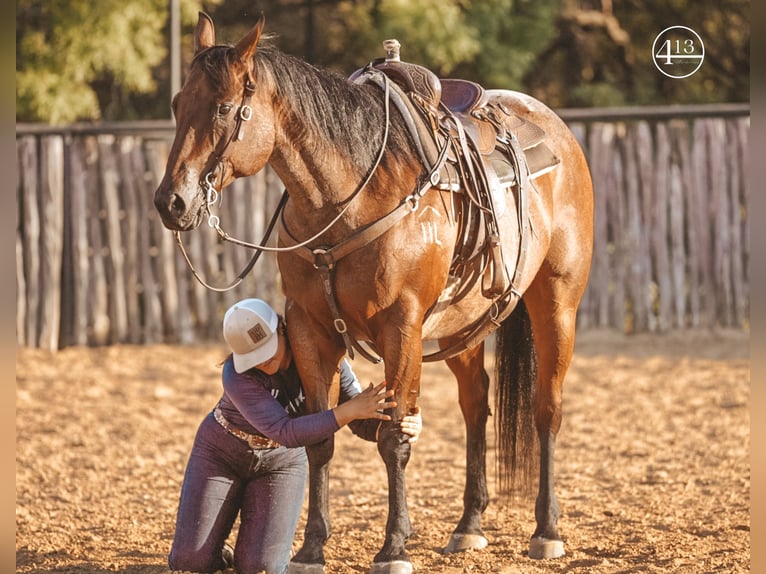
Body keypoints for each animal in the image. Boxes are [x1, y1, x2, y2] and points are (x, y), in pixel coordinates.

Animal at [153, 13, 596, 574]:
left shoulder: (401, 327)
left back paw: (546, 529)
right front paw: (312, 547)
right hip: (464, 325)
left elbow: (393, 439)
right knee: (476, 408)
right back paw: (469, 525)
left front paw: (393, 548)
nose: (172, 201)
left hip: (557, 304)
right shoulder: (310, 328)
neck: (348, 198)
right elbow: (319, 436)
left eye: (224, 108)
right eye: (176, 104)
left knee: (546, 409)